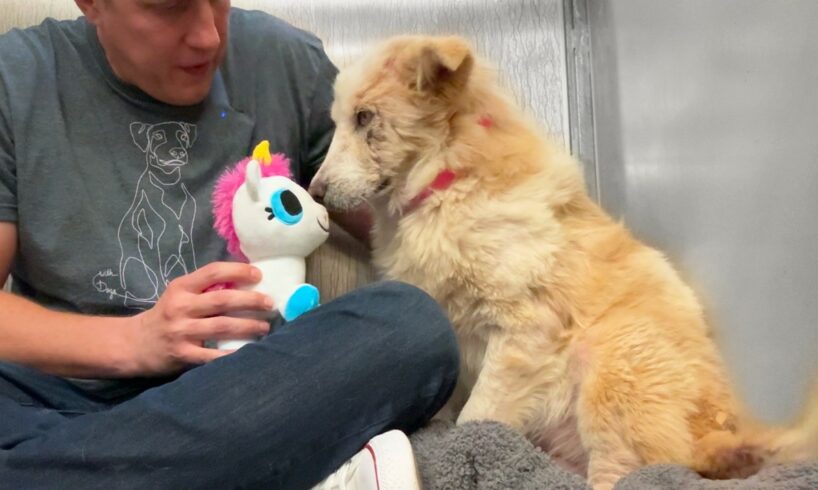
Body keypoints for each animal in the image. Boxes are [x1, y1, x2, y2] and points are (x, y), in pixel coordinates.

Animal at [308, 35, 816, 490]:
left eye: (365, 118)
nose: (313, 192)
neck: (447, 182)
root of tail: (714, 435)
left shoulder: (522, 332)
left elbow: (476, 418)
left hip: (611, 365)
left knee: (629, 474)